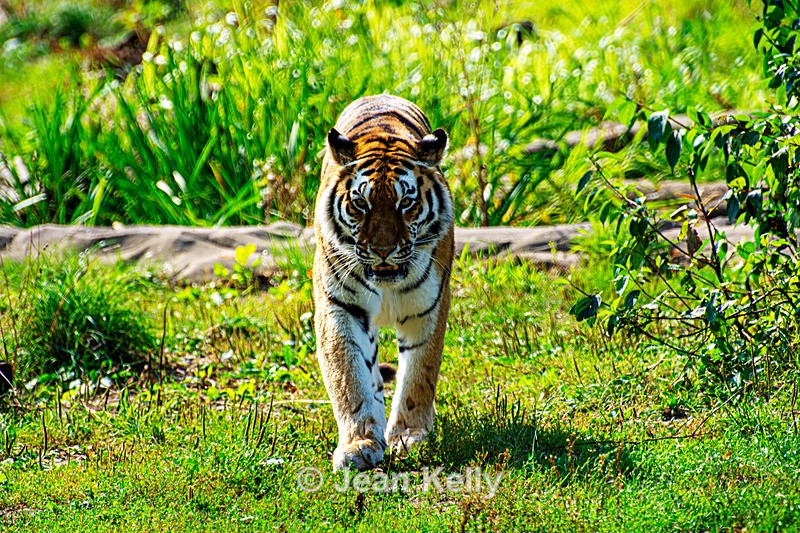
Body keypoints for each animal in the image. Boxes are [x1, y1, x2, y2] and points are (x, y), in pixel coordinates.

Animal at [313, 94, 454, 471]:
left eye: (406, 203)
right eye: (360, 204)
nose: (383, 250)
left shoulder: (428, 308)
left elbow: (419, 374)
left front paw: (409, 436)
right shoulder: (340, 307)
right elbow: (349, 378)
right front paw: (359, 443)